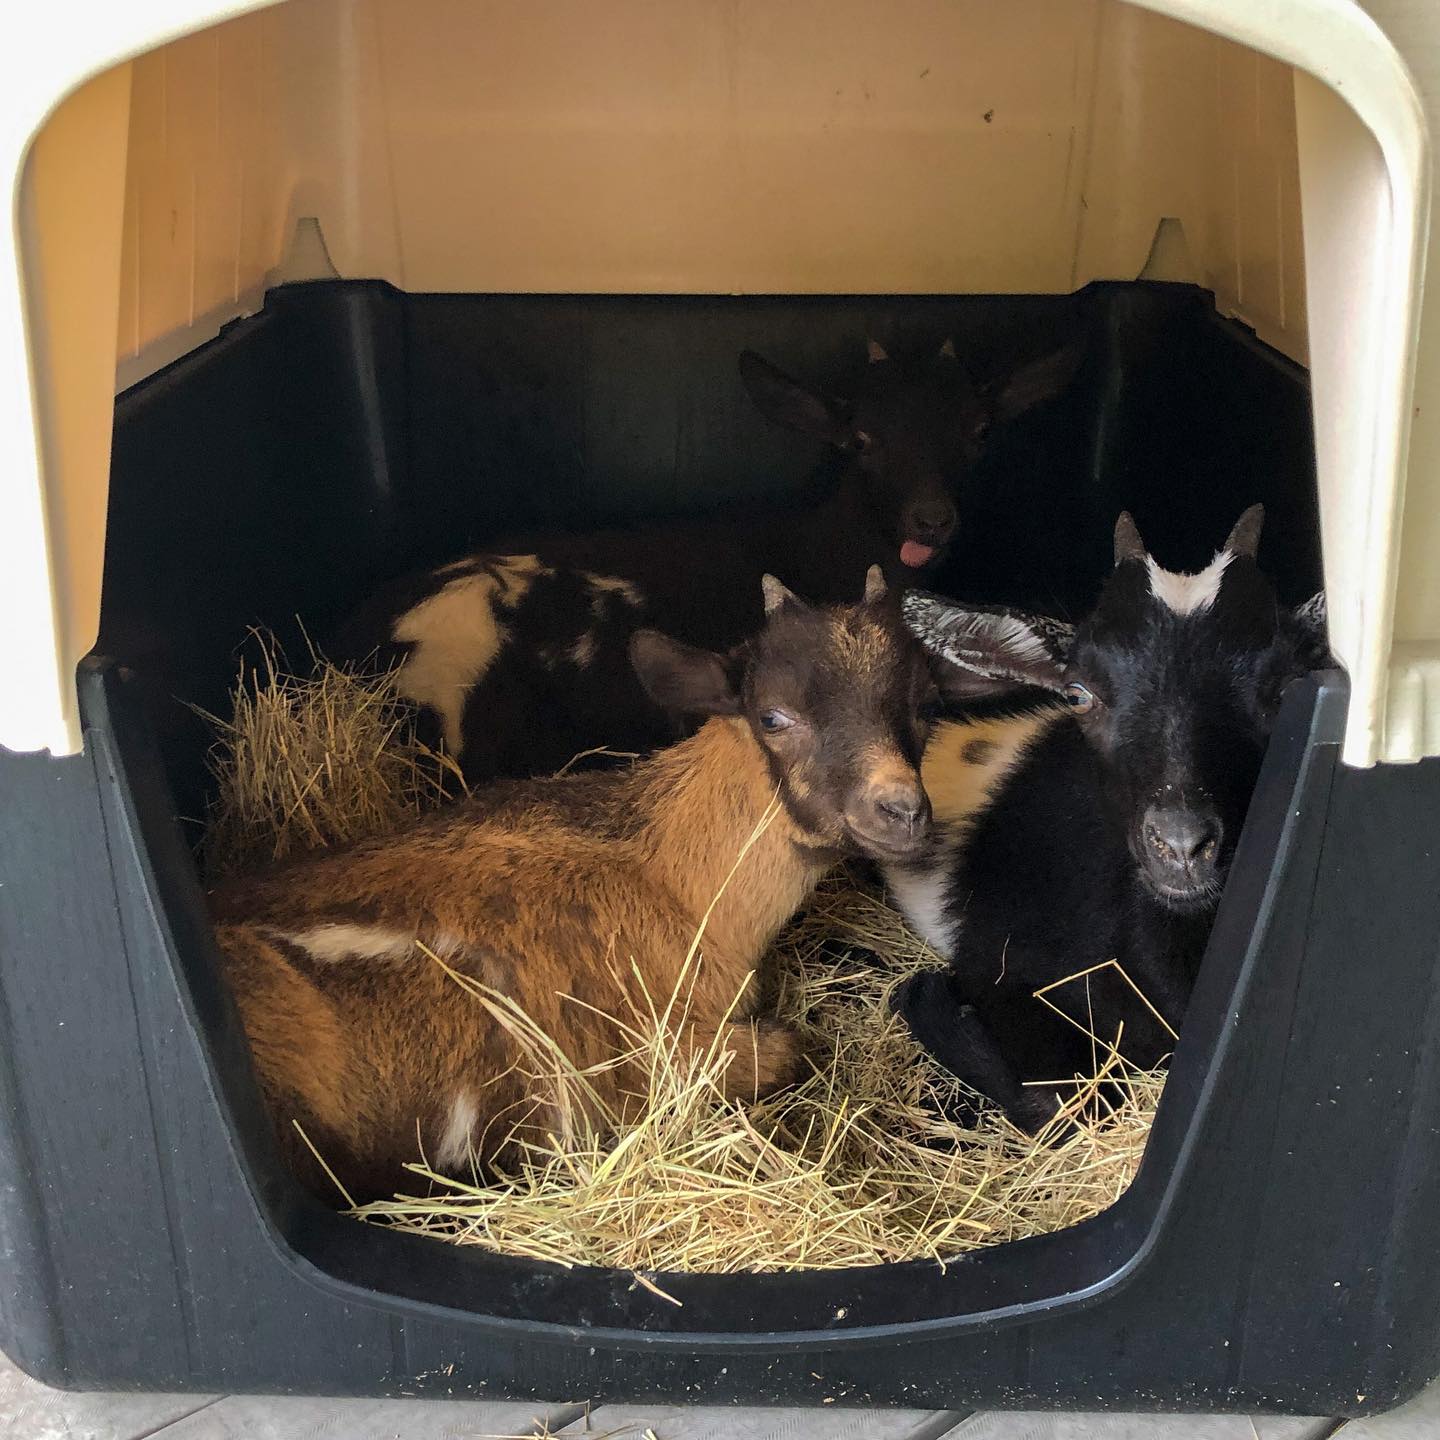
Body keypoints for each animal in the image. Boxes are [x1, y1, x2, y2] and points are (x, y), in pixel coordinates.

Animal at [209, 570, 935, 1202]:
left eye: (921, 705)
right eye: (773, 717)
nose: (902, 810)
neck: (671, 880)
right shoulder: (655, 1059)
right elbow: (793, 1046)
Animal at [880, 506, 1329, 1131]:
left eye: (1285, 689)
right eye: (1078, 694)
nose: (1182, 845)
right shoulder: (1002, 956)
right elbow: (1062, 1099)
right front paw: (925, 998)